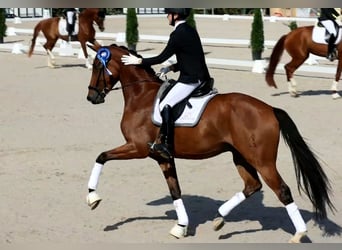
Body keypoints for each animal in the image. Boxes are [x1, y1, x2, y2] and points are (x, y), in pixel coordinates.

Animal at [84, 43, 336, 242]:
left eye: (97, 66)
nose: (91, 97)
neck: (142, 96)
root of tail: (270, 109)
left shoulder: (137, 148)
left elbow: (101, 156)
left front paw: (92, 197)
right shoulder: (162, 157)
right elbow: (175, 191)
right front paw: (181, 227)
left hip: (262, 161)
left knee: (282, 190)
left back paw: (299, 234)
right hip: (240, 156)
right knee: (252, 185)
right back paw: (219, 218)